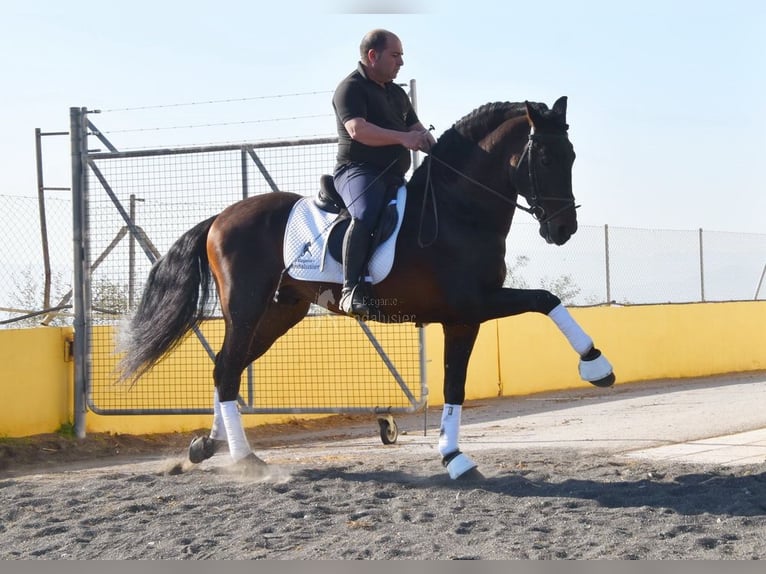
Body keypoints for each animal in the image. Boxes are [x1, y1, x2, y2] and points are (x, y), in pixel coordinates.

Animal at [117, 98, 616, 482]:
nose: (564, 229)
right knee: (226, 369)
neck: (457, 210)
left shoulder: (465, 317)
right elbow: (544, 300)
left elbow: (458, 384)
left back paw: (207, 445)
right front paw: (596, 364)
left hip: (279, 313)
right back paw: (247, 461)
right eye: (546, 159)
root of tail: (220, 217)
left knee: (230, 367)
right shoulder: (472, 306)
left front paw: (454, 457)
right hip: (245, 307)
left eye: (571, 155)